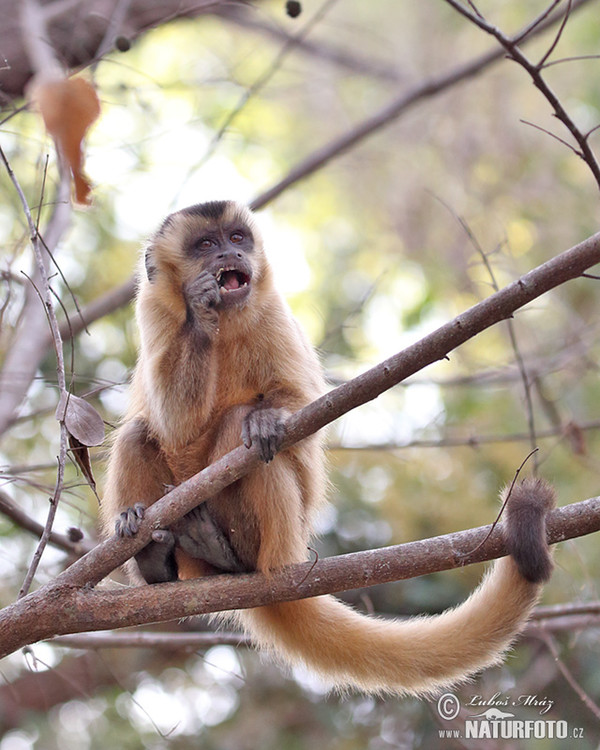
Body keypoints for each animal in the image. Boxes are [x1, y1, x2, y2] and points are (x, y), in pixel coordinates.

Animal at [101, 201, 556, 700]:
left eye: (237, 238)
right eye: (205, 245)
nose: (228, 254)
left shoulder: (274, 313)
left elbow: (301, 413)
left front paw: (266, 420)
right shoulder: (151, 307)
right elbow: (174, 424)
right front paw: (200, 312)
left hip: (284, 534)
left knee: (240, 436)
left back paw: (231, 553)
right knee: (138, 433)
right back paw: (154, 561)